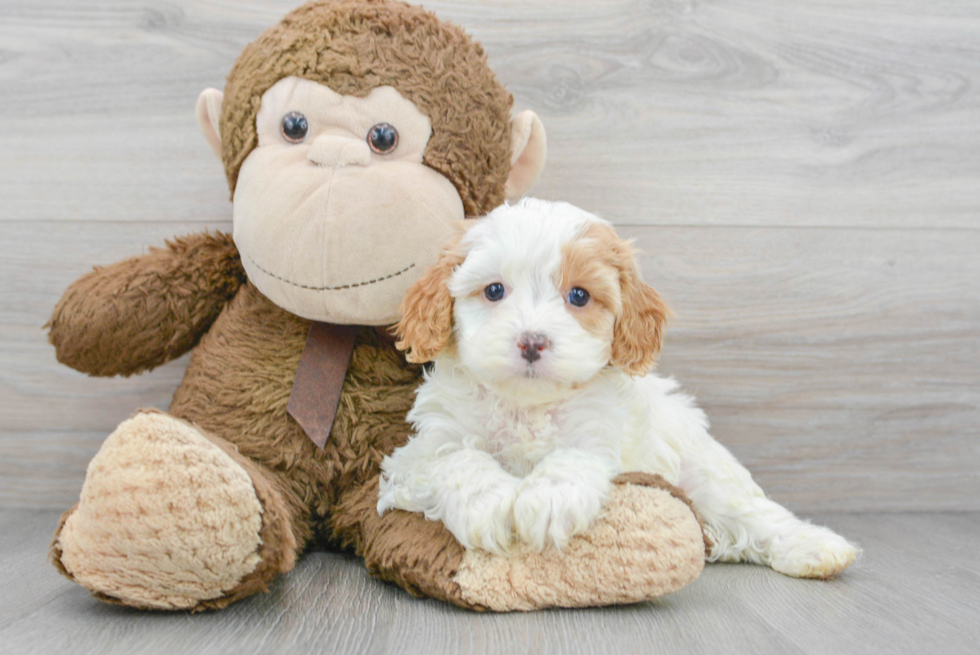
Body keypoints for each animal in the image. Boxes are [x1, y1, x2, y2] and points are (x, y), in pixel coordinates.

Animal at [378, 199, 860, 580]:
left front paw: (550, 498)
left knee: (755, 514)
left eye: (578, 296)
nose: (532, 341)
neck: (527, 407)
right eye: (494, 290)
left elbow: (576, 457)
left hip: (705, 474)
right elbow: (455, 458)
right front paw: (487, 501)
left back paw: (815, 548)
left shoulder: (601, 433)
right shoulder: (415, 458)